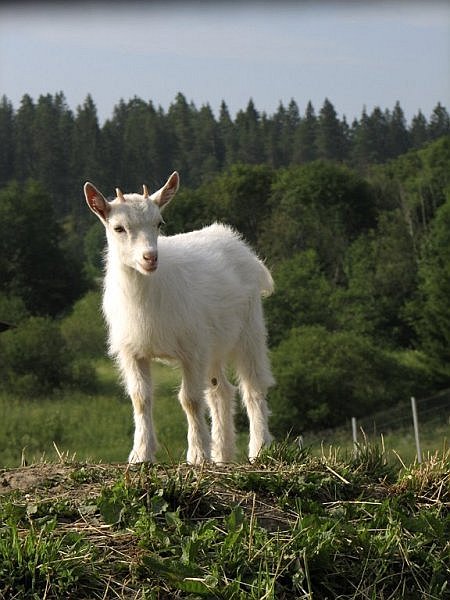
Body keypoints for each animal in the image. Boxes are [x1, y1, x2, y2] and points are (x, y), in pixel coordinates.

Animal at [84, 172, 274, 464]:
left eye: (159, 223)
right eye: (118, 228)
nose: (150, 258)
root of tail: (237, 242)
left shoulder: (192, 350)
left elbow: (190, 400)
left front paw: (196, 455)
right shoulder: (132, 352)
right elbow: (141, 399)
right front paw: (141, 454)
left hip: (249, 330)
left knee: (253, 388)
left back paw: (259, 449)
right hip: (213, 343)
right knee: (220, 390)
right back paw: (223, 454)